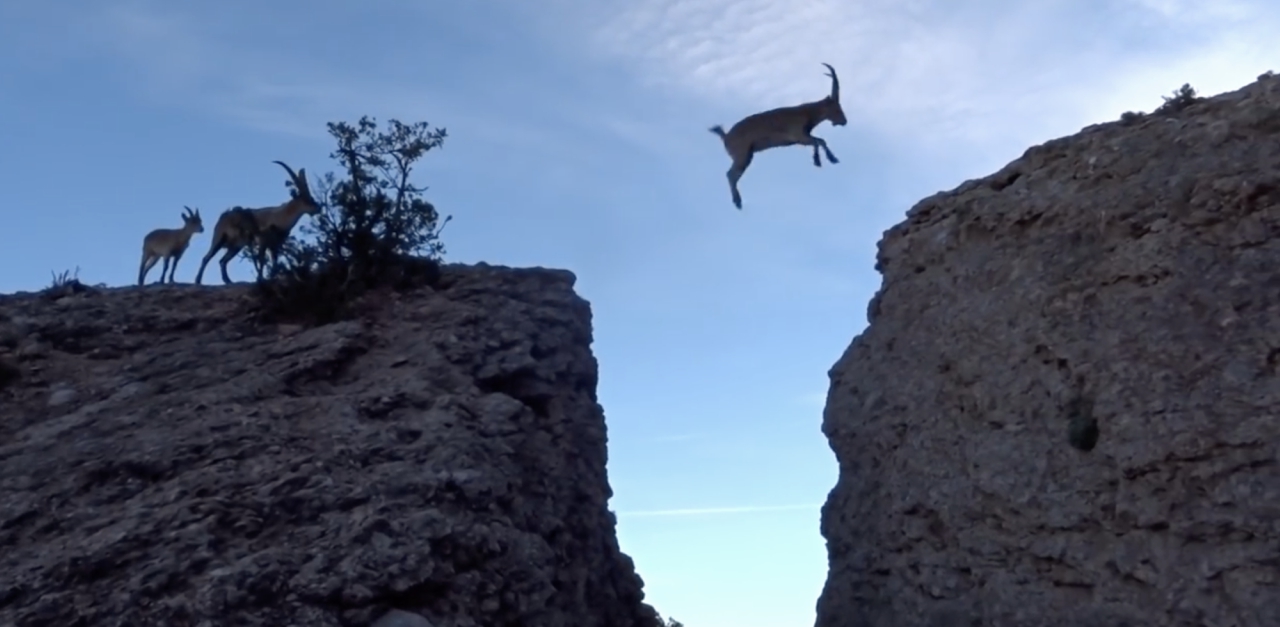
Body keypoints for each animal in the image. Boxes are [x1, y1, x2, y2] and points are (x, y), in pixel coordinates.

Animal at [709, 63, 848, 209]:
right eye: (837, 108)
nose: (844, 121)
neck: (807, 112)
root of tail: (725, 136)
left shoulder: (802, 138)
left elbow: (820, 141)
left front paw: (829, 159)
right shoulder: (798, 136)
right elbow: (819, 141)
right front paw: (822, 160)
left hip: (746, 155)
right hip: (742, 155)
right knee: (730, 174)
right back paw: (738, 202)